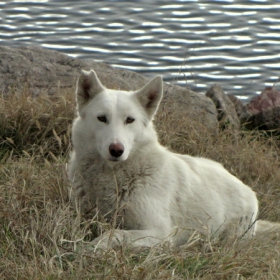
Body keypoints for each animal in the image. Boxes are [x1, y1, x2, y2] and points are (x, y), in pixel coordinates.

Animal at [68, 69, 278, 248]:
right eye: (102, 118)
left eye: (130, 120)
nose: (116, 150)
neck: (115, 177)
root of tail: (247, 189)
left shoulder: (159, 233)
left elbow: (113, 234)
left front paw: (91, 248)